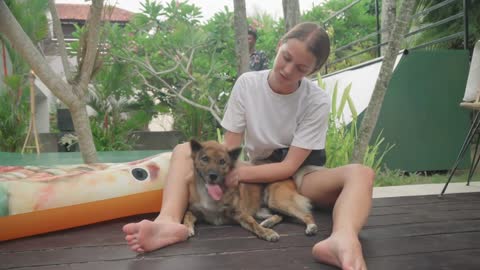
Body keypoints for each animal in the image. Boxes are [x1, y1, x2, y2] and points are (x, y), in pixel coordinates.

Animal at [184, 140, 318, 242]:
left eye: (222, 161)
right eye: (205, 159)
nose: (213, 176)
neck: (208, 194)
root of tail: (290, 177)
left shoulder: (240, 213)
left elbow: (253, 224)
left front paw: (267, 233)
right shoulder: (194, 211)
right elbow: (187, 216)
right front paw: (187, 228)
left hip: (277, 201)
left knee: (305, 214)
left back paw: (311, 227)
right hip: (262, 210)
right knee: (280, 215)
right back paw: (268, 222)